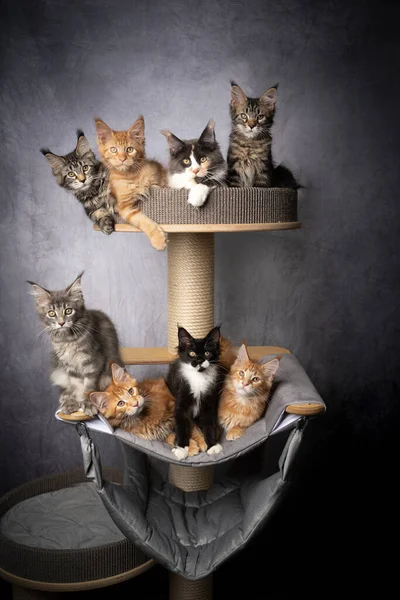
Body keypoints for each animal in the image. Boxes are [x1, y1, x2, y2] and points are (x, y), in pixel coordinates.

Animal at [28, 274, 122, 418]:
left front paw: (88, 404)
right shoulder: (70, 367)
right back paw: (66, 397)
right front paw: (73, 403)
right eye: (51, 313)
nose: (61, 323)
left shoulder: (93, 363)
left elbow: (88, 388)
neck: (67, 340)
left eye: (68, 311)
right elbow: (76, 386)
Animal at [95, 117, 167, 251]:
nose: (122, 159)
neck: (131, 176)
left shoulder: (158, 181)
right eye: (113, 149)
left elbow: (157, 186)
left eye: (129, 149)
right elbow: (143, 221)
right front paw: (158, 239)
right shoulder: (124, 207)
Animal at [164, 326, 223, 462]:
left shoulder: (209, 404)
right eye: (192, 353)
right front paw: (181, 448)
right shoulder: (181, 404)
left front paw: (212, 445)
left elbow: (210, 425)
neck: (199, 377)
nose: (200, 360)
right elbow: (181, 426)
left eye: (207, 353)